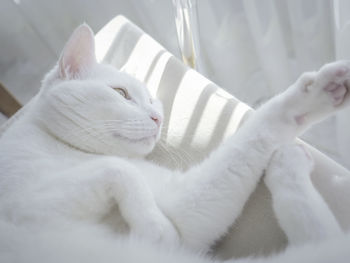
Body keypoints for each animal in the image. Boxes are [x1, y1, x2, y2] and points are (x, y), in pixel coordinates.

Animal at [0, 23, 350, 262]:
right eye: (121, 94)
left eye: (153, 101)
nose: (157, 117)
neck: (64, 146)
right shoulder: (27, 207)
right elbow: (117, 169)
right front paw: (157, 229)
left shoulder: (184, 210)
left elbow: (256, 132)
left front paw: (317, 95)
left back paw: (289, 162)